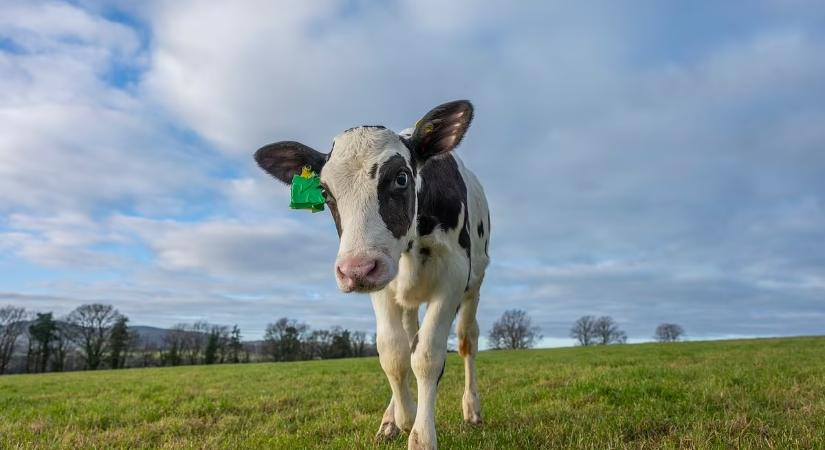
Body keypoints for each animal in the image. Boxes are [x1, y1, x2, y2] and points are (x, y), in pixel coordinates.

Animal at [256, 100, 490, 448]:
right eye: (324, 192)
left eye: (402, 178)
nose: (355, 269)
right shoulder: (381, 285)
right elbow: (393, 354)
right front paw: (403, 418)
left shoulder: (453, 275)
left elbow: (427, 356)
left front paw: (421, 436)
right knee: (407, 339)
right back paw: (391, 418)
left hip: (475, 284)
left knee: (466, 340)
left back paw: (471, 408)